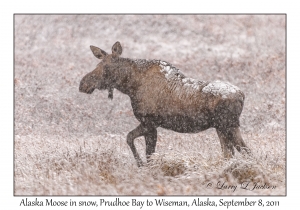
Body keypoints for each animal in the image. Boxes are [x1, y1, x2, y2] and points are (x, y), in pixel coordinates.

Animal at [78, 41, 250, 167]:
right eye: (97, 65)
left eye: (106, 67)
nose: (83, 84)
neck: (130, 86)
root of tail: (242, 95)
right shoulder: (148, 123)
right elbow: (129, 138)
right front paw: (140, 164)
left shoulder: (150, 123)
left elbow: (147, 153)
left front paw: (143, 165)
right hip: (220, 127)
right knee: (229, 154)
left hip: (229, 125)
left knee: (246, 151)